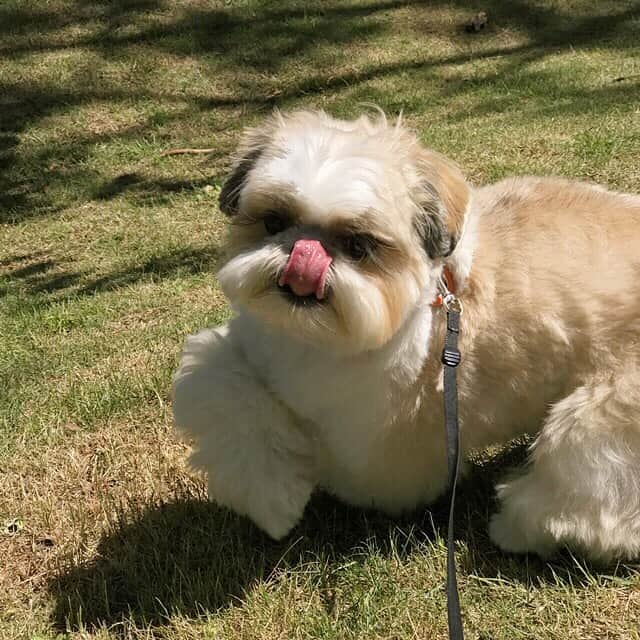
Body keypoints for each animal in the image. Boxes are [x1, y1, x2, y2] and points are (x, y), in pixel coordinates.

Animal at [172, 112, 640, 564]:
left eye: (357, 245)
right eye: (274, 222)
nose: (302, 257)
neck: (313, 339)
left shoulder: (370, 437)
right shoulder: (254, 348)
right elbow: (218, 377)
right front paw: (269, 496)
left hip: (604, 417)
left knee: (590, 486)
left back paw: (521, 529)